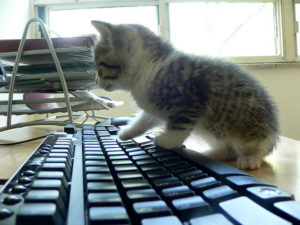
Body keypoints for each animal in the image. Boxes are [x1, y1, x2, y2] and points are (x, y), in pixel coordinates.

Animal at [91, 21, 278, 170]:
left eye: (99, 68)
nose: (96, 81)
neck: (150, 68)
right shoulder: (155, 107)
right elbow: (145, 119)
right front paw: (127, 132)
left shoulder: (190, 102)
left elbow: (179, 127)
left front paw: (167, 141)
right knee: (227, 151)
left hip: (250, 128)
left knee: (256, 146)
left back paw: (249, 158)